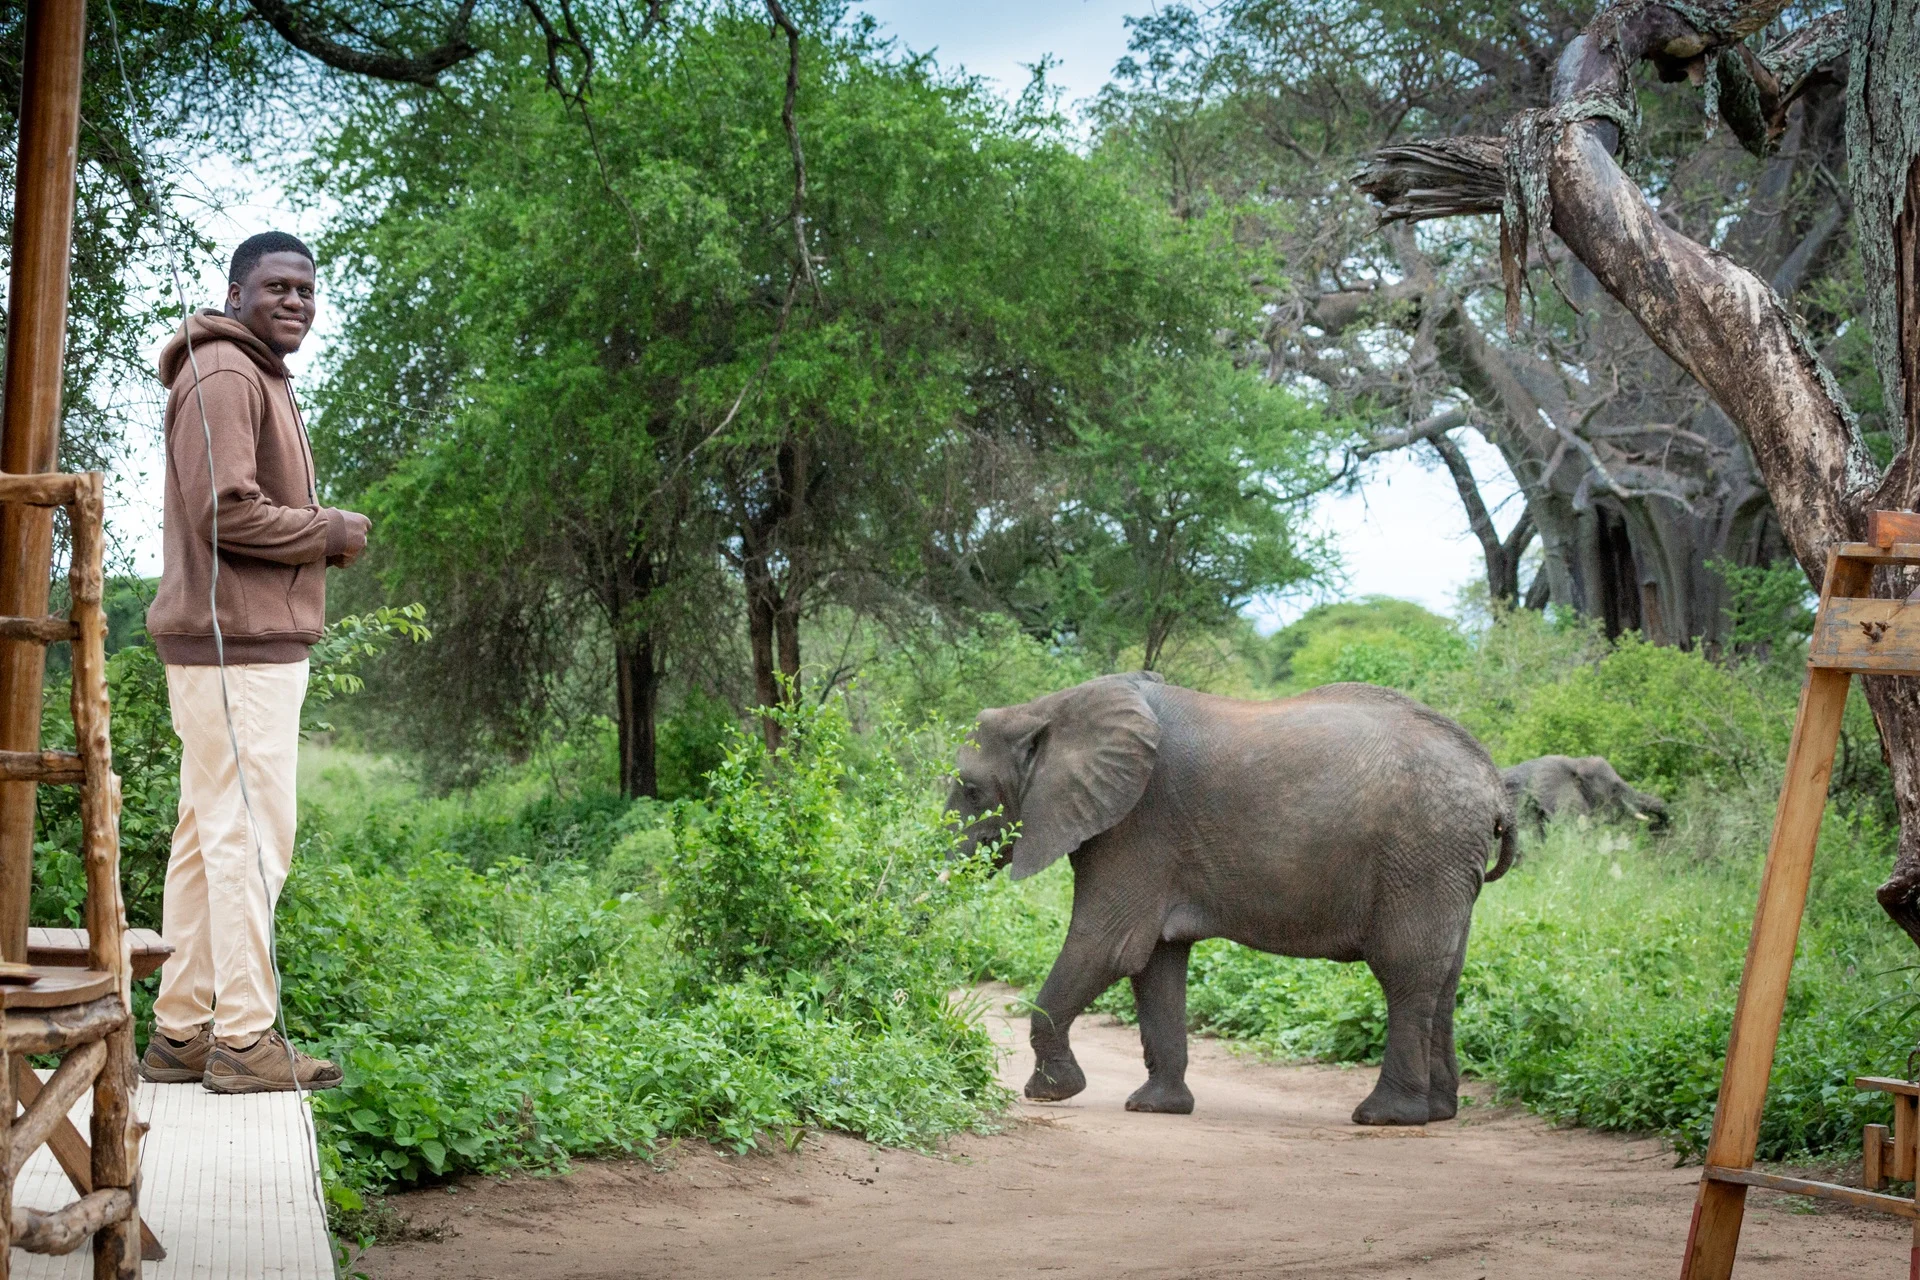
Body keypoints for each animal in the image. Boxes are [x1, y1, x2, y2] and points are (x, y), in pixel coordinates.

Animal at [949, 672, 1514, 1127]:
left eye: (972, 791)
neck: (1048, 709)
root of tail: (1493, 784)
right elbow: (1155, 963)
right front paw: (1155, 1108)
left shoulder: (1135, 826)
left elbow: (1107, 947)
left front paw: (1050, 1093)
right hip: (1443, 865)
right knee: (1445, 978)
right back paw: (1438, 1114)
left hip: (1421, 856)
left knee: (1406, 972)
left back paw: (1384, 1117)